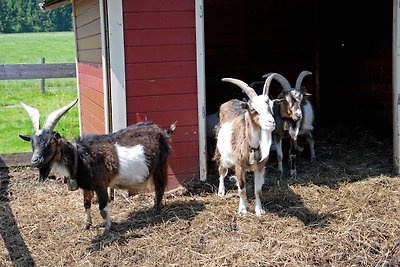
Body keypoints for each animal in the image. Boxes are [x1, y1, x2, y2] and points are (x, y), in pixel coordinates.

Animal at [18, 100, 175, 230]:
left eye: (50, 141)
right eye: (32, 142)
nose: (35, 160)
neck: (80, 157)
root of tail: (161, 131)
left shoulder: (101, 184)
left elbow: (103, 209)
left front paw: (108, 228)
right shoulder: (87, 186)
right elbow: (86, 204)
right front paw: (87, 225)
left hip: (160, 165)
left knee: (160, 187)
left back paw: (156, 211)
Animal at [212, 74, 278, 217]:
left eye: (271, 106)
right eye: (253, 109)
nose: (271, 122)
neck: (252, 147)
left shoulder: (260, 167)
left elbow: (258, 190)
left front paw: (259, 210)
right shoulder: (239, 166)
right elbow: (242, 187)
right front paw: (242, 210)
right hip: (221, 153)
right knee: (221, 170)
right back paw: (221, 191)